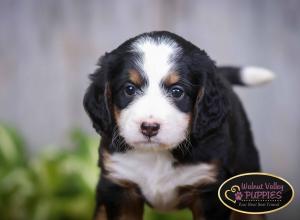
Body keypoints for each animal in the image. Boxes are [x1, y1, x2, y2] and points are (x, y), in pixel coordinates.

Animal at [82, 31, 274, 220]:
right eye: (129, 89)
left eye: (177, 91)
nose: (149, 127)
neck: (157, 156)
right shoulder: (119, 185)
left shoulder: (209, 189)